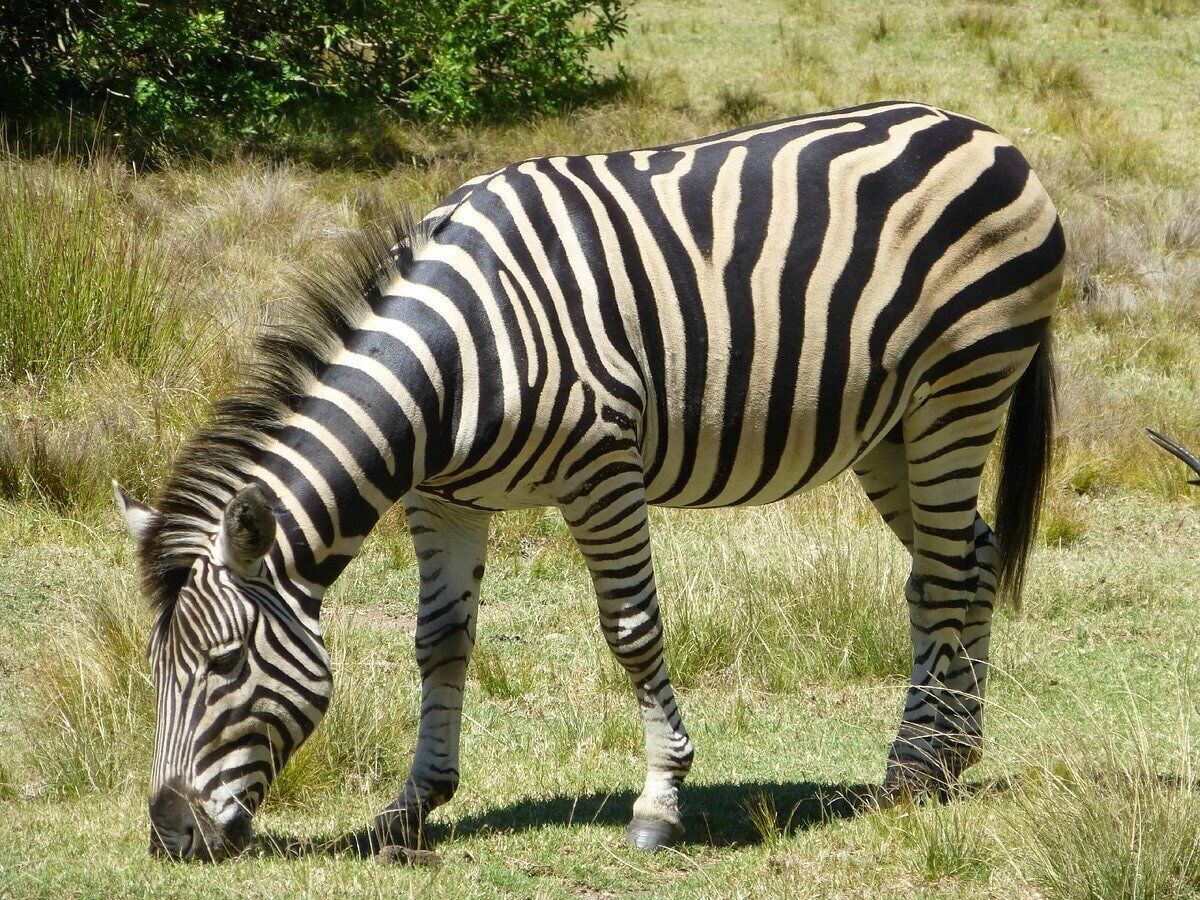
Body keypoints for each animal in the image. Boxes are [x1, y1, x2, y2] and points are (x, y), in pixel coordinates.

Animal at [115, 100, 1064, 861]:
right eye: (154, 669)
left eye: (226, 662)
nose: (170, 835)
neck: (453, 365)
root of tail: (981, 132)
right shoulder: (441, 500)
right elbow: (440, 643)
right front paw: (414, 807)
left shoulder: (601, 471)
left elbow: (631, 632)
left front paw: (659, 803)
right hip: (889, 425)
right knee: (969, 559)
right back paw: (950, 757)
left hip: (960, 390)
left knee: (946, 573)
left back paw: (911, 771)